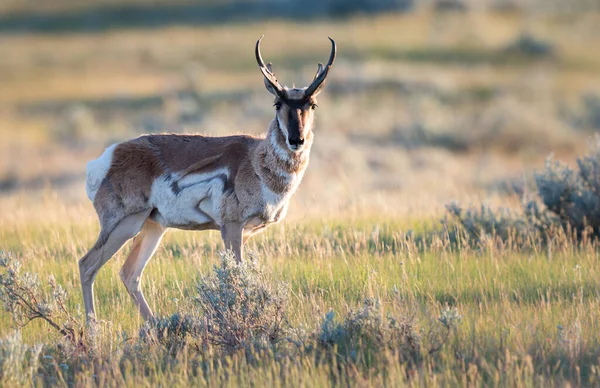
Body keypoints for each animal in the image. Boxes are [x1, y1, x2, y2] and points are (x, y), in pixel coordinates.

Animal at [77, 36, 336, 322]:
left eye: (312, 104)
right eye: (277, 103)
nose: (296, 140)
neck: (256, 161)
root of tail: (107, 158)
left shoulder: (246, 232)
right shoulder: (231, 226)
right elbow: (237, 276)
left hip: (152, 227)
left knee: (129, 273)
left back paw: (154, 325)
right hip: (124, 224)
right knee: (87, 265)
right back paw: (93, 327)